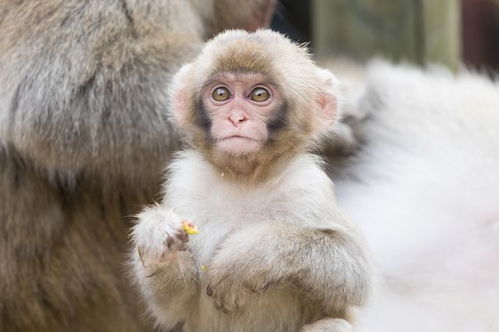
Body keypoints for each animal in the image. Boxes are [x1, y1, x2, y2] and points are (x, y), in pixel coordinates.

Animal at [131, 29, 370, 330]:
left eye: (259, 94)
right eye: (221, 93)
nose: (236, 118)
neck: (244, 179)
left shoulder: (307, 186)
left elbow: (354, 274)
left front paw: (248, 257)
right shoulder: (185, 184)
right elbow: (172, 305)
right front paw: (156, 233)